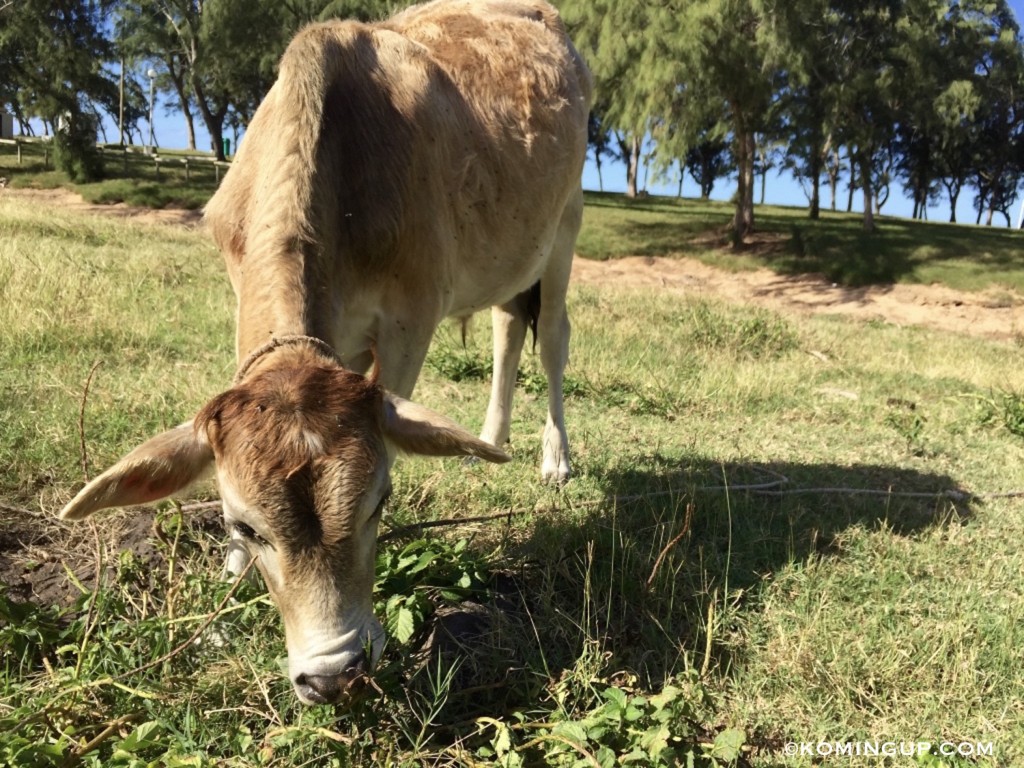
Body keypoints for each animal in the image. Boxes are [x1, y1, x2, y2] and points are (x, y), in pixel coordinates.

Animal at [58, 0, 593, 708]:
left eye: (380, 502)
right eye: (245, 526)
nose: (334, 673)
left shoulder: (411, 316)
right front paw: (226, 594)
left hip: (564, 227)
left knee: (553, 337)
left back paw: (554, 456)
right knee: (508, 328)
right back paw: (488, 438)